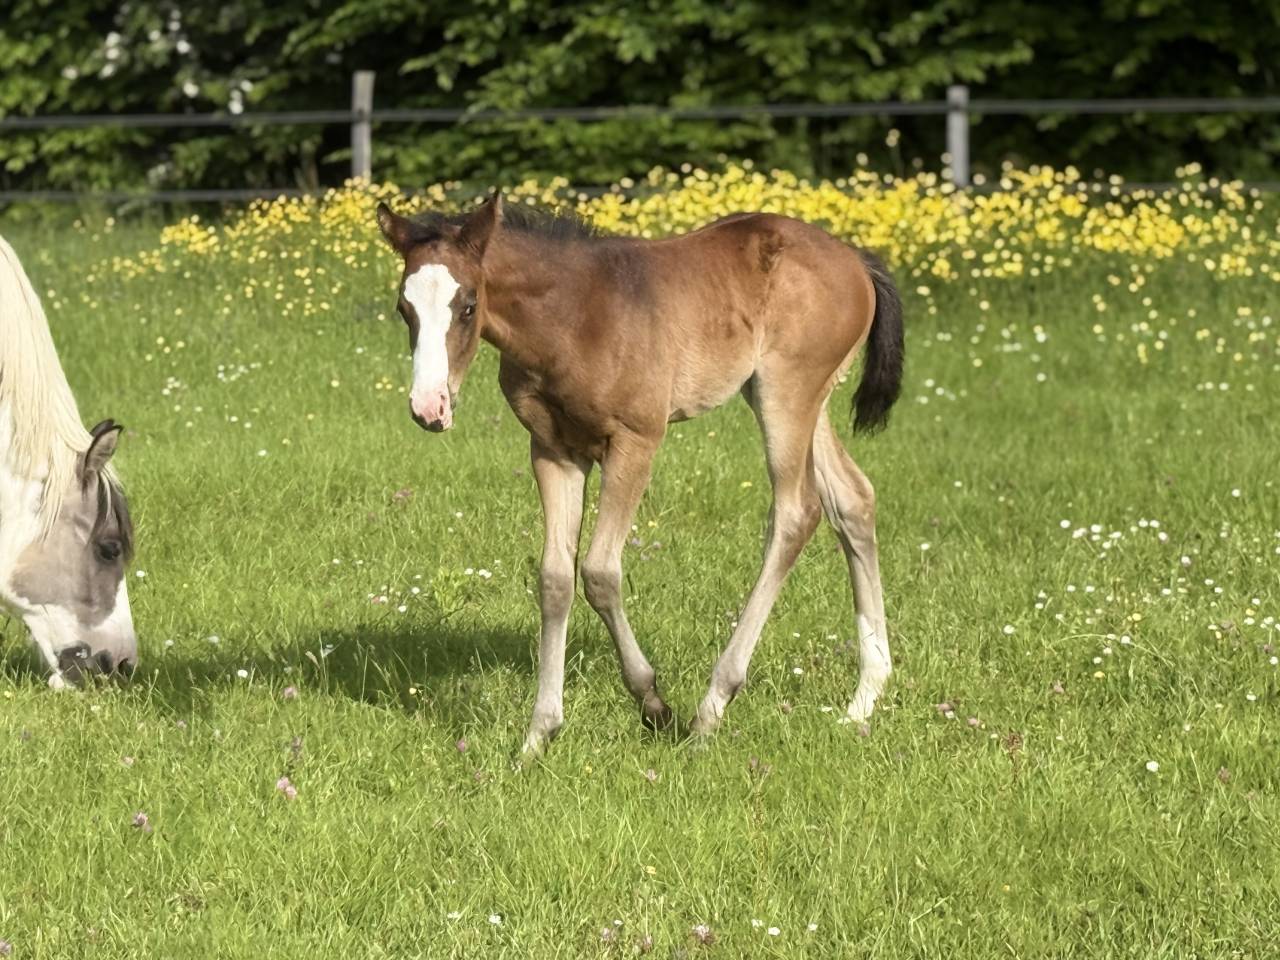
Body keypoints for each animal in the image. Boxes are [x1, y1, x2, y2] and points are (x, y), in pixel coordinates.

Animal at [375, 194, 903, 753]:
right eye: (404, 309)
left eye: (469, 305)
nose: (429, 407)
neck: (573, 317)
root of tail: (856, 260)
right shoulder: (553, 450)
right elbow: (555, 579)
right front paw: (538, 735)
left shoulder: (636, 442)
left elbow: (600, 573)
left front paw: (653, 705)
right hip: (795, 398)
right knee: (852, 499)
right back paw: (864, 697)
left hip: (787, 391)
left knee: (796, 513)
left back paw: (712, 708)